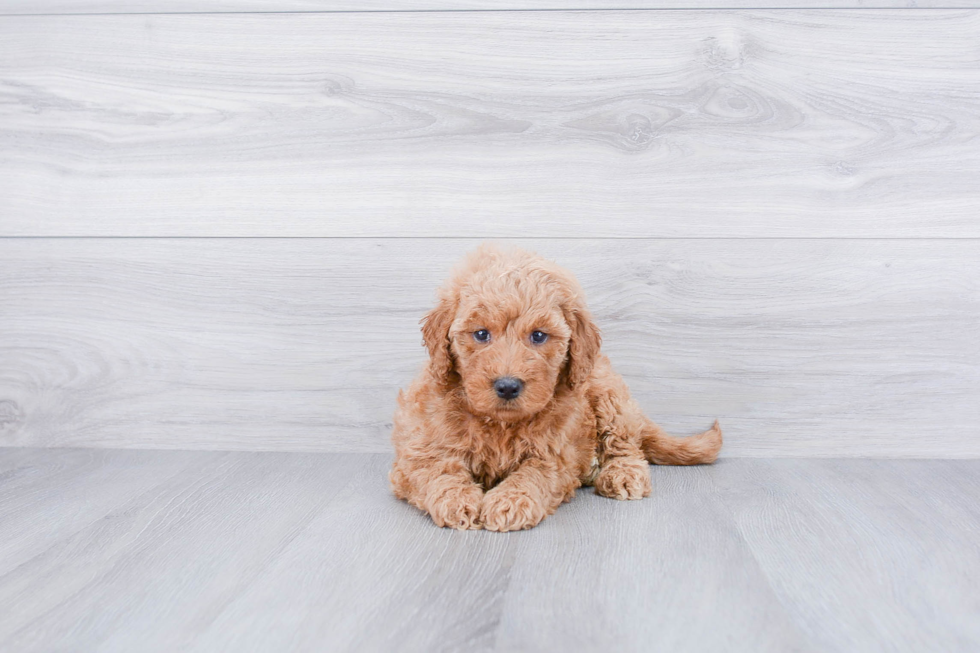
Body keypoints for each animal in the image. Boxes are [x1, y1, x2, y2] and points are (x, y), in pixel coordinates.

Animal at [388, 243, 720, 528]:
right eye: (481, 334)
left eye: (538, 336)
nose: (507, 386)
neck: (499, 425)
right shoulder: (418, 451)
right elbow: (436, 471)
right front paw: (456, 501)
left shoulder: (555, 455)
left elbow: (533, 474)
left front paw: (510, 502)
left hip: (608, 394)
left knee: (626, 445)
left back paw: (622, 474)